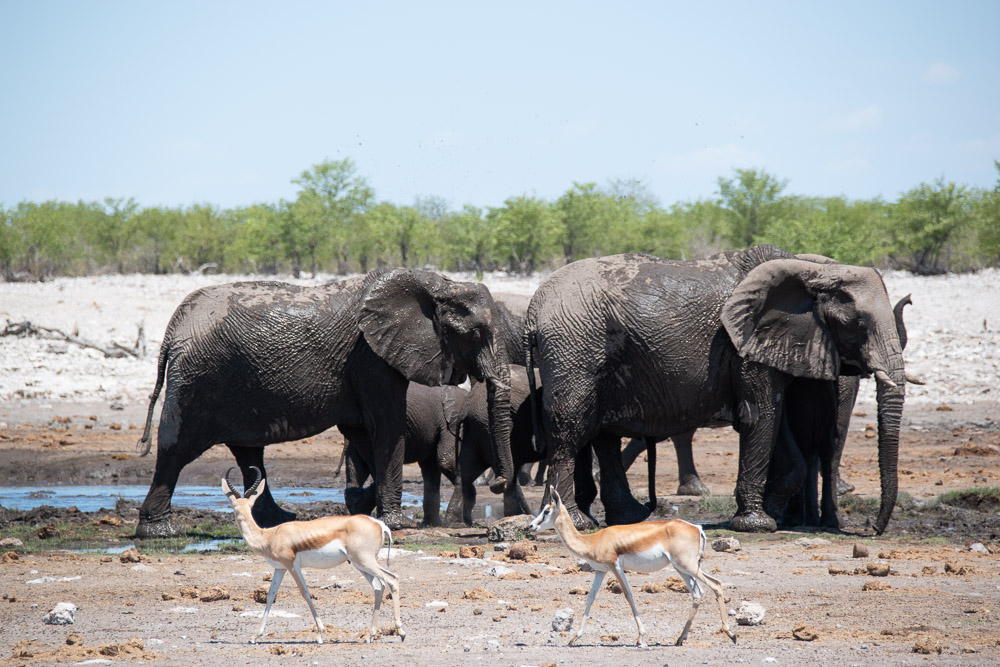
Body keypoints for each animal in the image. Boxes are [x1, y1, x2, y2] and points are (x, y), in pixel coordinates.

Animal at [221, 468, 404, 644]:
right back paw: (370, 635)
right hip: (361, 564)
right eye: (235, 505)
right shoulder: (280, 568)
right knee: (379, 586)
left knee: (392, 580)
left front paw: (320, 634)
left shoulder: (292, 566)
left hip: (365, 562)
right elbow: (270, 596)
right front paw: (255, 636)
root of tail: (378, 524)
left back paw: (401, 632)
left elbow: (305, 593)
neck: (270, 535)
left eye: (241, 506)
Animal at [524, 248, 908, 536]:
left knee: (598, 433)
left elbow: (777, 422)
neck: (814, 270)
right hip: (574, 347)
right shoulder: (746, 345)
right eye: (855, 324)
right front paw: (756, 524)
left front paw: (770, 513)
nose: (873, 528)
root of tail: (533, 306)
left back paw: (624, 518)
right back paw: (576, 522)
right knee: (570, 431)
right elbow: (759, 416)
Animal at [532, 488, 736, 648]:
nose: (531, 525)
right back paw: (680, 639)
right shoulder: (601, 570)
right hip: (681, 568)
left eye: (547, 510)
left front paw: (640, 638)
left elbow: (628, 595)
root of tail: (697, 528)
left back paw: (730, 634)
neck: (594, 540)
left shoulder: (614, 566)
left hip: (688, 566)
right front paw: (574, 637)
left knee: (716, 584)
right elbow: (590, 598)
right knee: (697, 593)